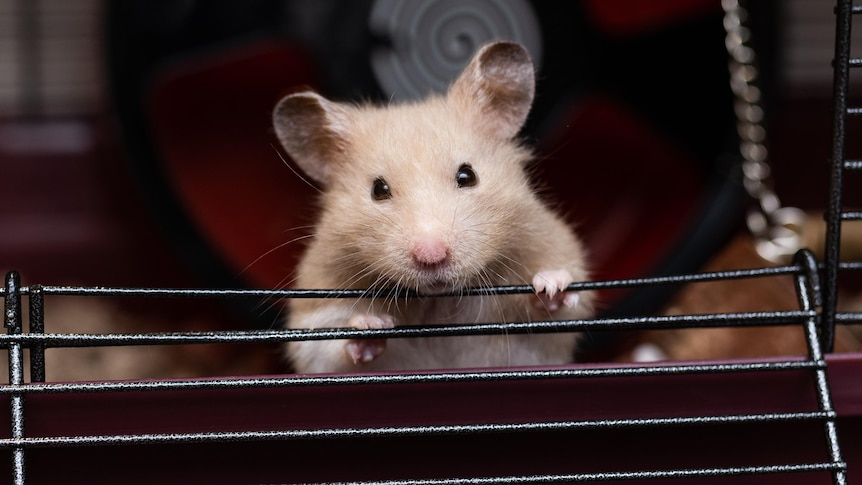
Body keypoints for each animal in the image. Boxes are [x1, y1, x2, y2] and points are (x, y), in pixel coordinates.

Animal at [274, 42, 592, 374]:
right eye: (378, 190)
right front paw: (371, 325)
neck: (438, 301)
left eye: (467, 175)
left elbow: (556, 310)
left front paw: (551, 286)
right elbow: (328, 346)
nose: (432, 256)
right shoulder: (314, 314)